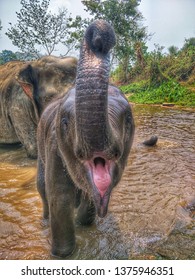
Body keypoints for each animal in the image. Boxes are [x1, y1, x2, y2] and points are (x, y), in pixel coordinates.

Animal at [36, 19, 135, 258]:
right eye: (64, 122)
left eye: (128, 119)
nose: (99, 38)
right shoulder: (54, 145)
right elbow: (60, 197)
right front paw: (62, 254)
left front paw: (85, 224)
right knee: (42, 187)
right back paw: (45, 221)